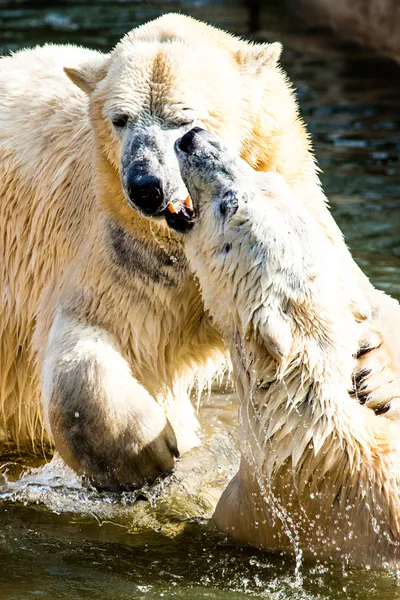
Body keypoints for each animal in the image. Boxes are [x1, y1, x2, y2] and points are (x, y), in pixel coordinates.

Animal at [0, 12, 398, 488]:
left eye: (182, 117)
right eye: (120, 119)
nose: (146, 186)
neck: (181, 243)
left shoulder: (299, 212)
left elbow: (357, 295)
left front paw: (373, 373)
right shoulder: (119, 251)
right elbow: (87, 343)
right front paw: (147, 452)